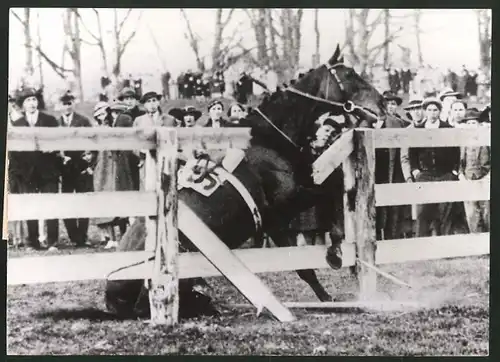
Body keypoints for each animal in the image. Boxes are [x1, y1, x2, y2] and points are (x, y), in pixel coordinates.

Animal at [104, 44, 386, 316]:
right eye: (349, 74)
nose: (381, 103)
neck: (265, 140)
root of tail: (110, 294)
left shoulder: (275, 220)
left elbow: (305, 261)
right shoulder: (287, 203)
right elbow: (328, 198)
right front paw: (337, 252)